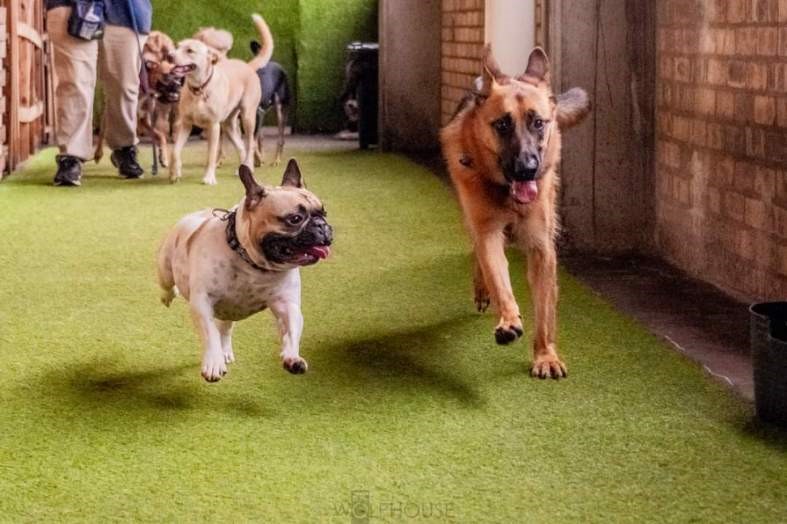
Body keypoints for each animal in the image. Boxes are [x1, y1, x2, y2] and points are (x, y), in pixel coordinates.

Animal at [159, 160, 334, 380]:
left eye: (324, 213)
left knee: (225, 329)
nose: (323, 226)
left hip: (229, 310)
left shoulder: (287, 305)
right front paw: (213, 362)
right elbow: (210, 333)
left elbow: (292, 331)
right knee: (167, 284)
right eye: (294, 219)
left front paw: (292, 358)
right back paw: (168, 296)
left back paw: (225, 351)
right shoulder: (202, 302)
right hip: (165, 267)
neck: (251, 262)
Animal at [169, 13, 274, 185]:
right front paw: (174, 173)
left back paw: (249, 166)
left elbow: (211, 155)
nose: (169, 55)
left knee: (250, 145)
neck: (199, 90)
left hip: (247, 117)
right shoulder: (185, 124)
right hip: (229, 124)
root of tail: (247, 66)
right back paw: (242, 170)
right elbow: (175, 151)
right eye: (178, 46)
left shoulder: (213, 126)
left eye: (190, 50)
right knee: (241, 147)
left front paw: (209, 177)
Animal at [440, 47, 588, 378]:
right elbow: (500, 281)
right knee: (477, 252)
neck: (507, 194)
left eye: (538, 123)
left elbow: (544, 312)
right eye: (503, 125)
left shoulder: (542, 249)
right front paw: (508, 319)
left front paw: (545, 355)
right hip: (474, 221)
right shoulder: (489, 233)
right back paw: (482, 289)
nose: (527, 169)